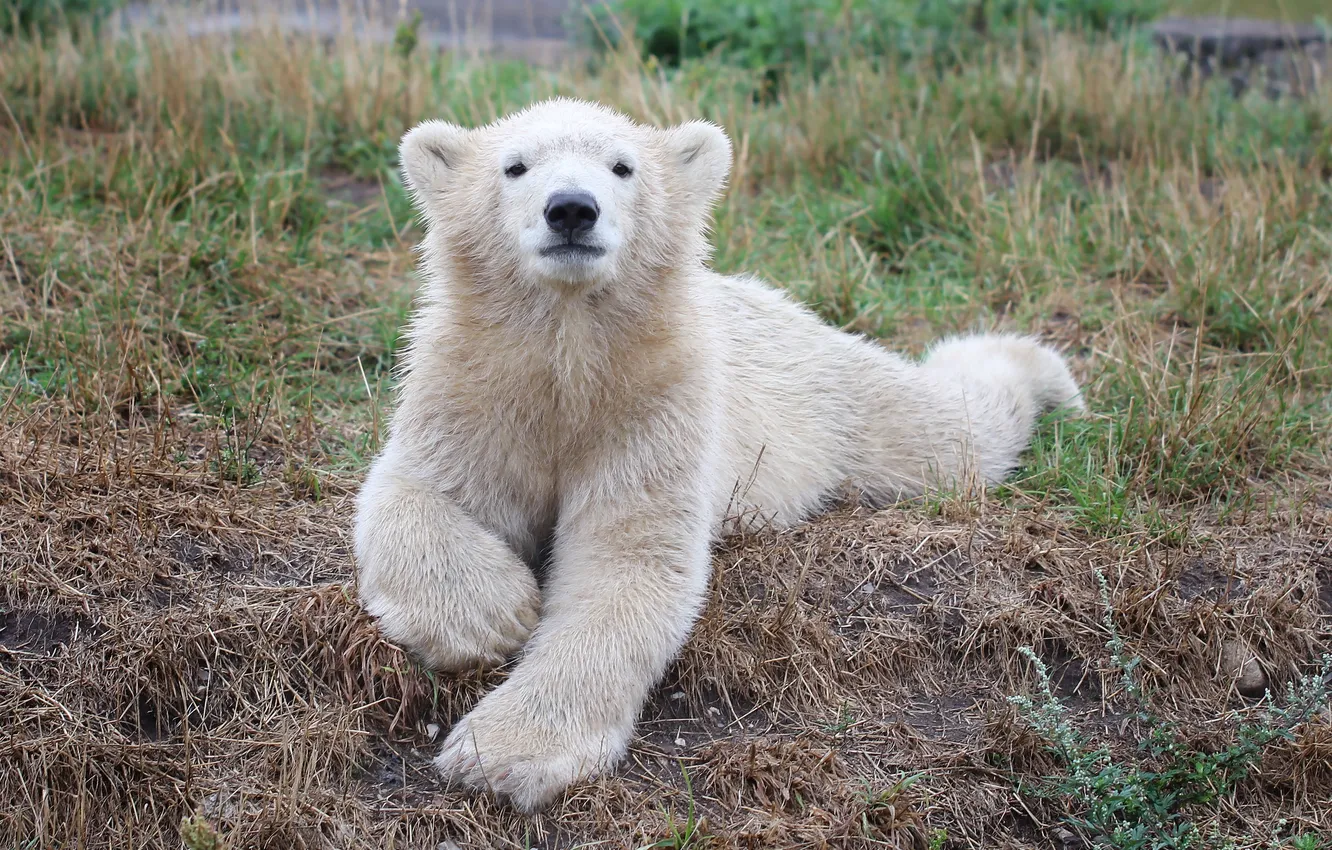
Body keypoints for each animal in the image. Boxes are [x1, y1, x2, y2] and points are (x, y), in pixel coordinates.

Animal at [353, 98, 1084, 813]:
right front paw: (491, 615)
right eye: (515, 166)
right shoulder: (473, 390)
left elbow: (630, 561)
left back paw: (1043, 370)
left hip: (834, 400)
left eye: (622, 166)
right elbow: (411, 489)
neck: (570, 357)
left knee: (954, 433)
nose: (571, 209)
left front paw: (503, 754)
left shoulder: (658, 407)